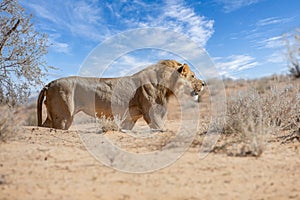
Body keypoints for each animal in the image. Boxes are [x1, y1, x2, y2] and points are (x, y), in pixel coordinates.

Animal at [37, 60, 205, 130]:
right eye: (192, 76)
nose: (203, 83)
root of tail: (49, 83)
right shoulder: (153, 114)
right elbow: (161, 128)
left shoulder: (131, 118)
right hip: (64, 118)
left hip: (53, 116)